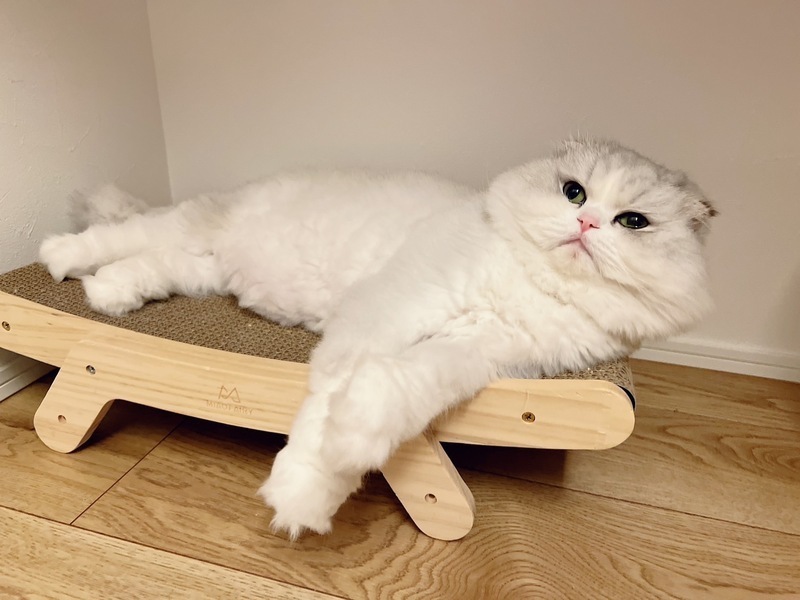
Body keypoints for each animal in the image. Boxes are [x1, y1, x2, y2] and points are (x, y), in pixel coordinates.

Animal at [39, 138, 716, 538]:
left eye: (632, 222)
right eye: (574, 191)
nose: (586, 224)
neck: (530, 281)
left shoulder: (474, 353)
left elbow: (390, 395)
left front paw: (356, 440)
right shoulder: (389, 310)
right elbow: (323, 412)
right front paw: (303, 496)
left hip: (201, 266)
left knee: (147, 266)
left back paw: (108, 294)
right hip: (193, 226)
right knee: (121, 237)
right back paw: (59, 258)